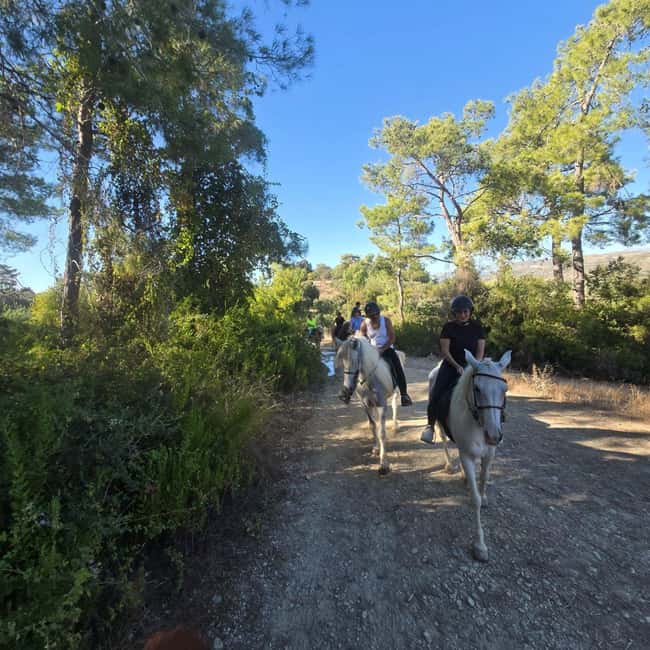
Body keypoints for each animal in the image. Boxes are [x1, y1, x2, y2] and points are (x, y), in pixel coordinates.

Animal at [336, 337, 405, 475]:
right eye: (343, 362)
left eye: (354, 360)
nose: (345, 393)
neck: (369, 380)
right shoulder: (366, 404)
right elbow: (372, 426)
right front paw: (376, 448)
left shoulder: (381, 405)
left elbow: (382, 432)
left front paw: (384, 465)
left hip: (395, 393)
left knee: (394, 405)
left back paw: (395, 425)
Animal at [429, 349, 511, 562]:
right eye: (477, 388)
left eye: (504, 389)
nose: (493, 435)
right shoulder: (466, 455)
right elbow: (476, 500)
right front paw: (480, 546)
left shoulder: (489, 455)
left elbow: (483, 483)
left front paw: (482, 493)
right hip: (440, 425)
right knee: (443, 439)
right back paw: (450, 466)